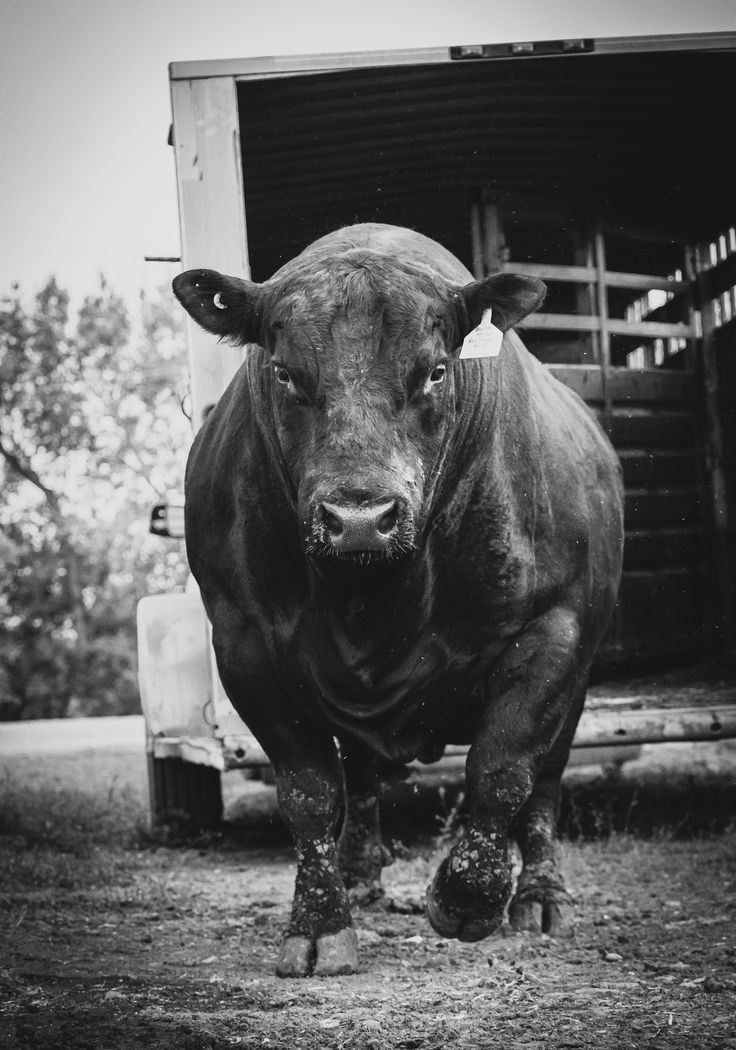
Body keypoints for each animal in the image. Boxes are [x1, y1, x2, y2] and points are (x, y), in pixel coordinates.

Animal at [172, 221, 621, 974]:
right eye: (285, 373)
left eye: (436, 370)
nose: (359, 517)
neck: (372, 595)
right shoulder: (242, 641)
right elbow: (309, 790)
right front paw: (319, 923)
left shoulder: (554, 626)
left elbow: (503, 769)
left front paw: (467, 899)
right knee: (359, 775)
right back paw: (359, 875)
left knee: (545, 782)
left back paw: (540, 896)